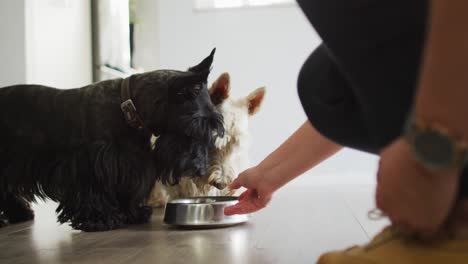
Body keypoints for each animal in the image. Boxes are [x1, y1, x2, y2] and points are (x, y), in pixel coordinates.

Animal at [0, 49, 224, 231]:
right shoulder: (93, 163)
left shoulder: (130, 163)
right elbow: (97, 190)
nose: (201, 170)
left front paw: (133, 213)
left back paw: (19, 214)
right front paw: (100, 220)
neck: (129, 108)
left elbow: (126, 189)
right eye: (195, 128)